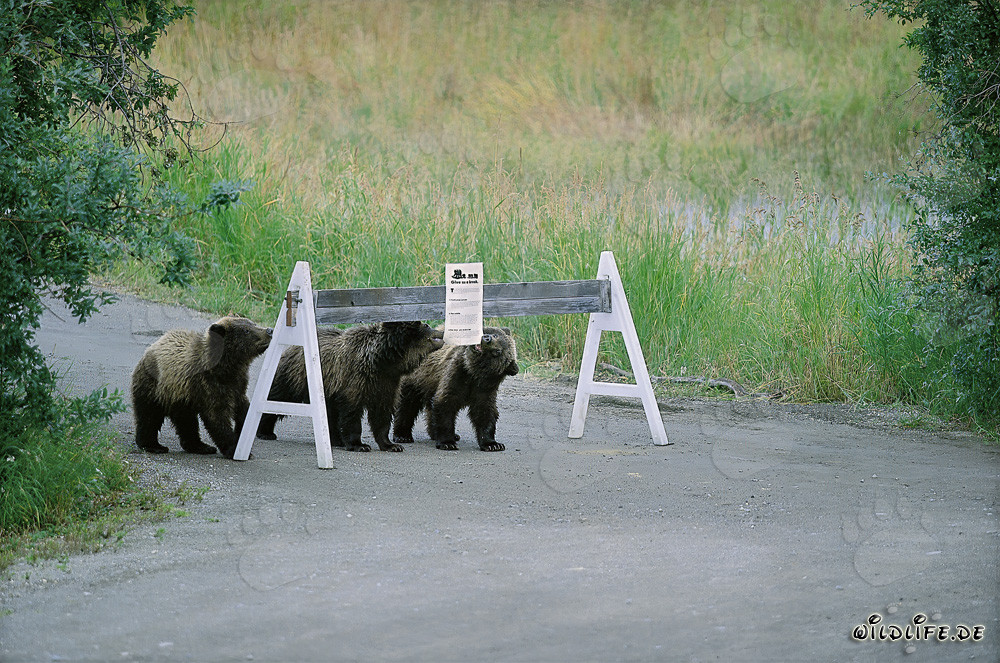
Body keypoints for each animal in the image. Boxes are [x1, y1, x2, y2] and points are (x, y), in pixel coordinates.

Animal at [131, 316, 272, 459]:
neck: (226, 368)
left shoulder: (238, 385)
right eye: (246, 330)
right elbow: (217, 417)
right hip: (155, 386)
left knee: (186, 422)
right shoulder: (208, 386)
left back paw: (201, 446)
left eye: (253, 323)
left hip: (180, 398)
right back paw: (153, 445)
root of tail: (152, 346)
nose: (269, 331)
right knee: (149, 415)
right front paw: (233, 448)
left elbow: (243, 408)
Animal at [256, 321, 443, 452]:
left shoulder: (386, 384)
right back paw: (265, 431)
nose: (441, 330)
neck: (381, 362)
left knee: (329, 415)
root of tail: (291, 347)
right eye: (426, 325)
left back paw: (335, 440)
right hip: (294, 377)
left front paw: (391, 445)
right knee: (277, 398)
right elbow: (352, 413)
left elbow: (382, 414)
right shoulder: (354, 380)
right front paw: (359, 445)